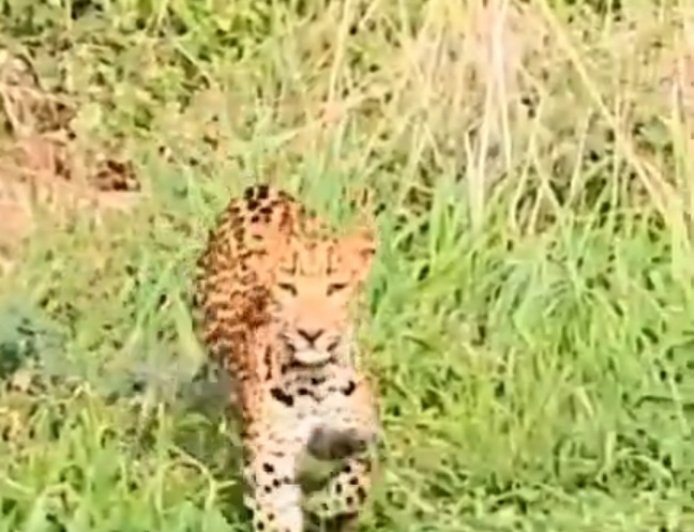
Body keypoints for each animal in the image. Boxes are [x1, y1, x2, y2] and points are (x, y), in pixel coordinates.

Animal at [193, 183, 381, 531]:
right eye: (287, 287)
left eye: (336, 287)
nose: (311, 332)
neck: (316, 380)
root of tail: (259, 188)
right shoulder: (270, 465)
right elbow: (277, 514)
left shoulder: (363, 434)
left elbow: (355, 481)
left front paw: (323, 505)